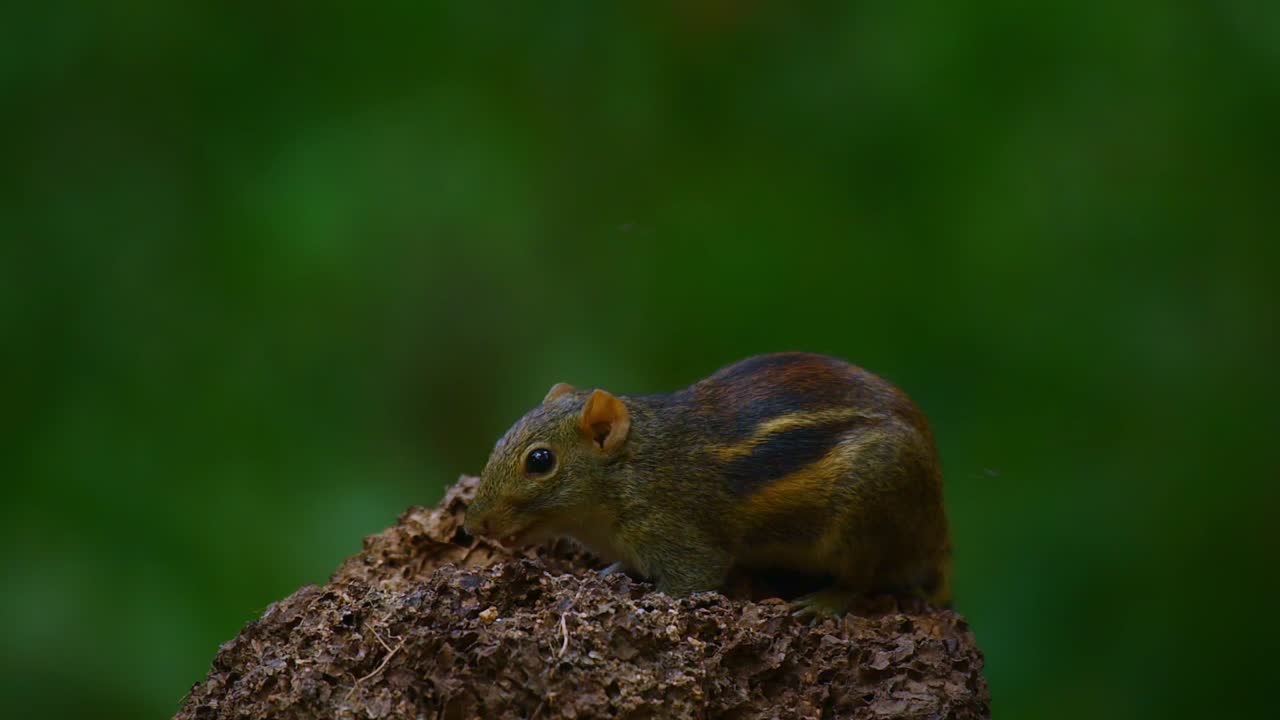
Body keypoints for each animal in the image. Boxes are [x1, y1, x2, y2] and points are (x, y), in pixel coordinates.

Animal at [463, 352, 951, 615]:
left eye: (540, 461)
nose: (471, 525)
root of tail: (936, 534)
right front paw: (611, 571)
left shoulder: (679, 538)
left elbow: (694, 579)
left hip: (865, 514)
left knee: (863, 577)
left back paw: (826, 601)